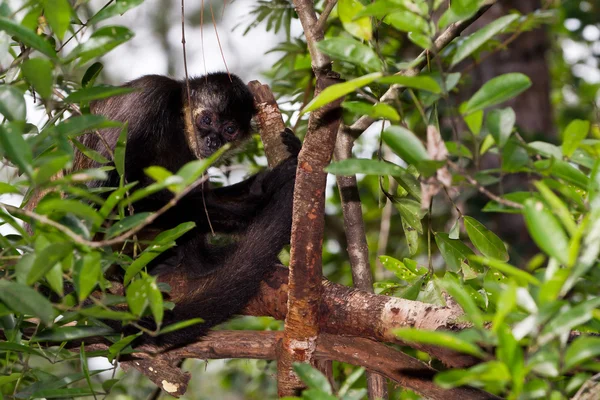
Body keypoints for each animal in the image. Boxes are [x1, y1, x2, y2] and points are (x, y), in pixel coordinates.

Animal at [72, 72, 300, 346]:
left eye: (229, 129)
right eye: (207, 119)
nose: (213, 140)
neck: (176, 120)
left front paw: (264, 182)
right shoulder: (150, 98)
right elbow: (104, 195)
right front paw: (266, 193)